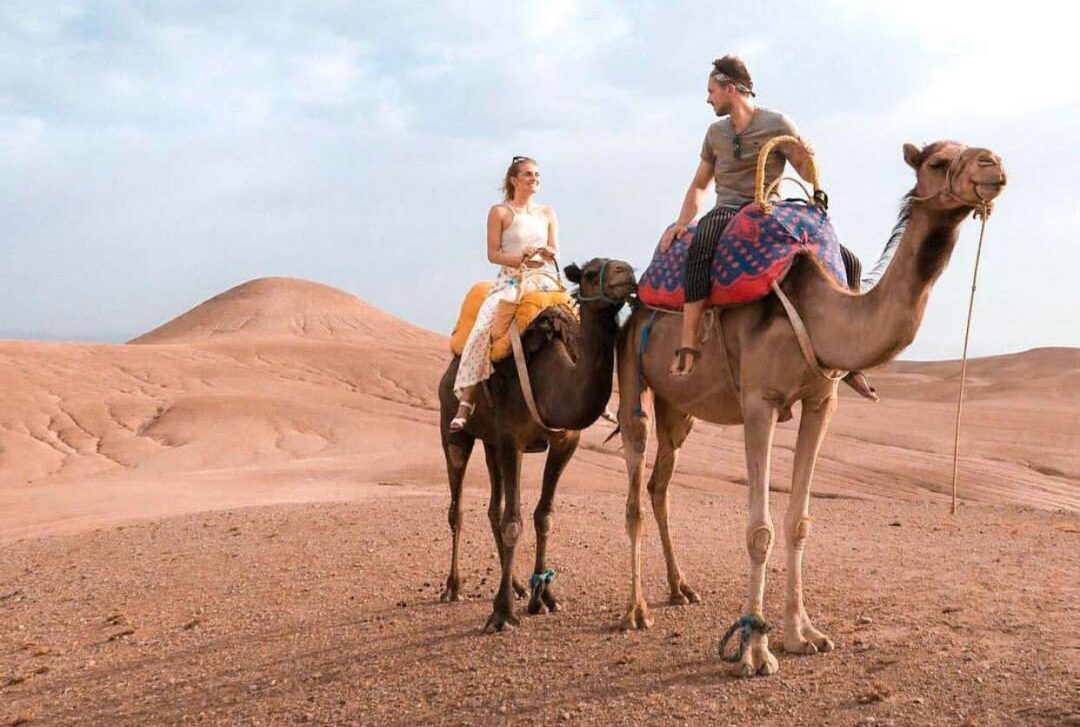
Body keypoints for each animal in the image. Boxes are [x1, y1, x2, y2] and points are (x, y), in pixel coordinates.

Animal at [438, 257, 637, 632]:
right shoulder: (511, 439)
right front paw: (502, 614)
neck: (552, 378)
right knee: (458, 507)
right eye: (592, 273)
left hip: (490, 442)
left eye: (626, 267)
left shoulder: (564, 442)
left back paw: (516, 585)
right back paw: (453, 588)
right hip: (453, 428)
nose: (627, 273)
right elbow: (513, 522)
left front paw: (543, 598)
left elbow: (543, 516)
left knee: (493, 507)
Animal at [615, 141, 1007, 676]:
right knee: (635, 488)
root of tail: (638, 301)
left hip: (679, 408)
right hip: (632, 372)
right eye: (938, 161)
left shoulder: (823, 401)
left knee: (660, 486)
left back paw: (680, 589)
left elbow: (799, 521)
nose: (994, 165)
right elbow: (759, 530)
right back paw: (636, 610)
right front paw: (754, 649)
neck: (820, 312)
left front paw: (803, 635)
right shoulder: (759, 402)